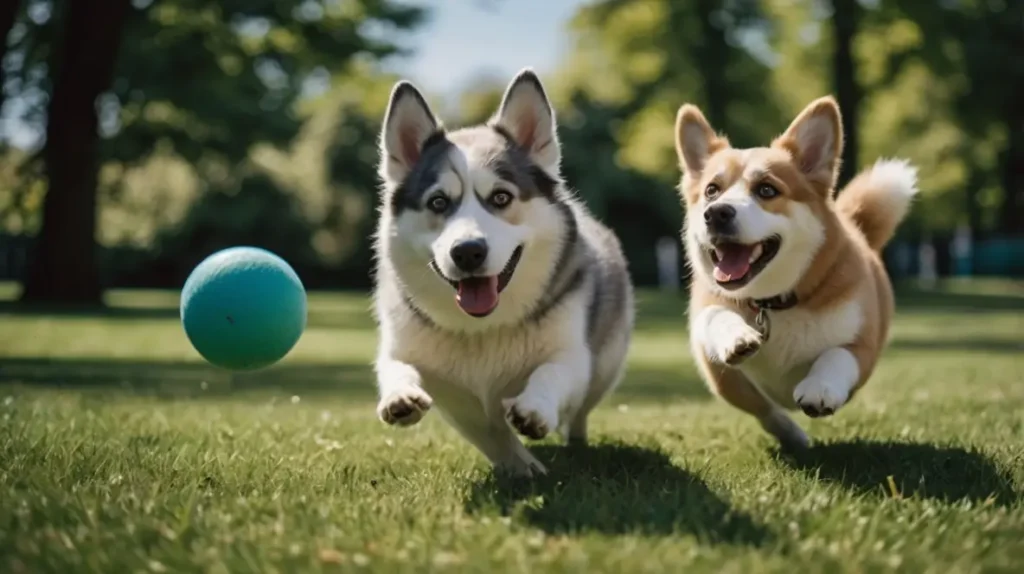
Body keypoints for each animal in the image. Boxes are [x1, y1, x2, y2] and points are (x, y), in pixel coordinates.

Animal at [372, 69, 634, 476]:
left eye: (500, 197)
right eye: (438, 202)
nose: (467, 251)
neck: (484, 328)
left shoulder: (573, 356)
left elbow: (552, 372)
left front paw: (535, 410)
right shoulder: (429, 372)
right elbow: (399, 369)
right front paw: (401, 395)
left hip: (605, 368)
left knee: (579, 411)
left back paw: (575, 443)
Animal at [671, 97, 921, 448]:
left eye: (766, 190)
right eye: (711, 190)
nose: (716, 213)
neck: (773, 302)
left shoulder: (863, 346)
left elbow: (837, 355)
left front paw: (820, 388)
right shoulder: (714, 348)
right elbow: (714, 316)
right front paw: (737, 337)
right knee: (768, 411)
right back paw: (792, 434)